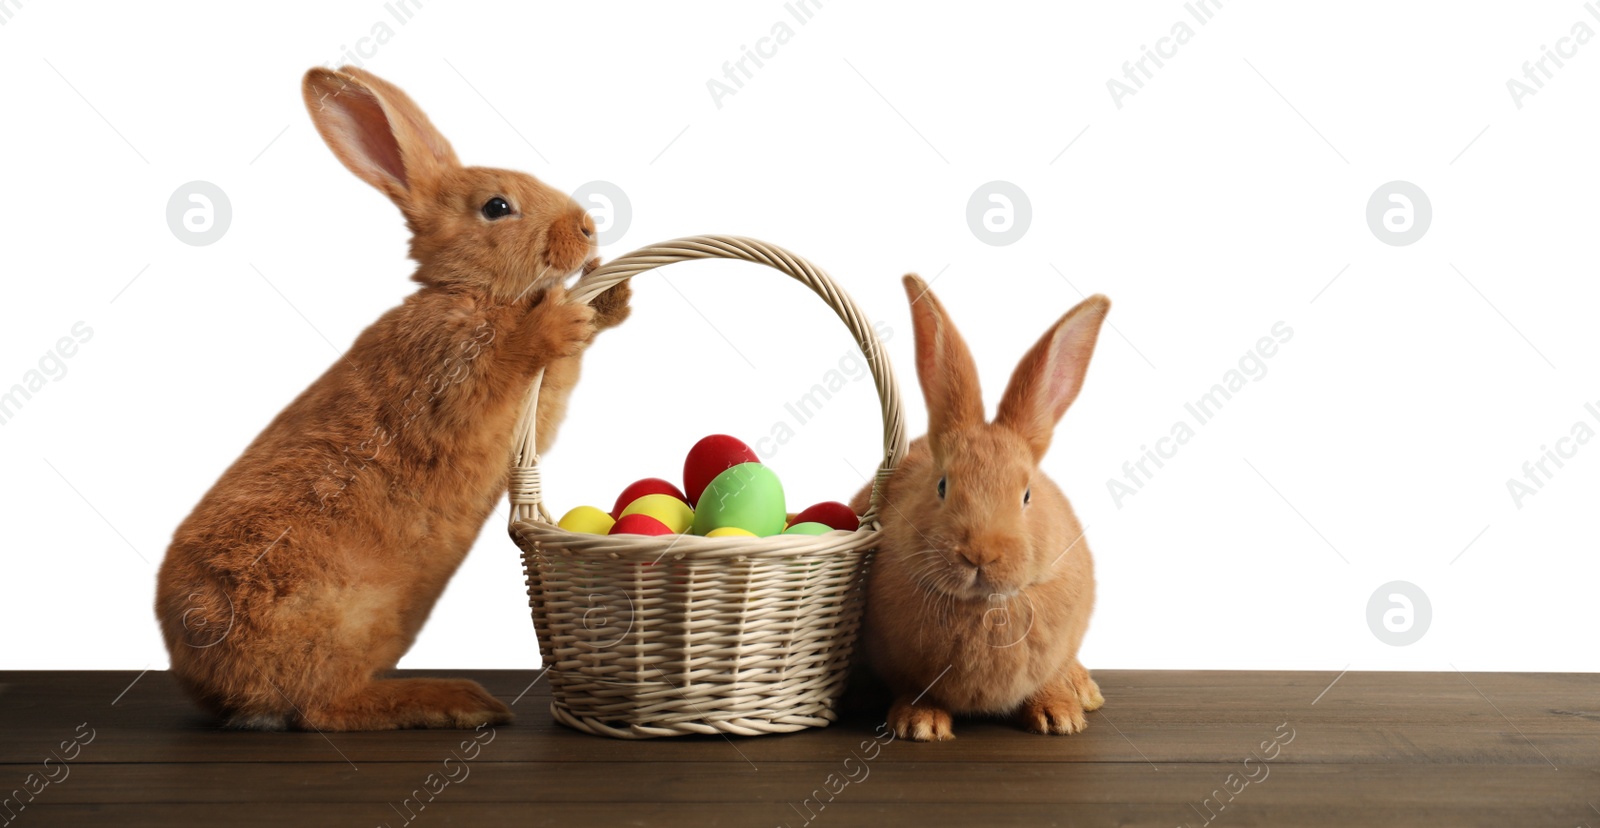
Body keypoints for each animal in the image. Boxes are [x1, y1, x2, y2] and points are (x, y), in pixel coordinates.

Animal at [150, 69, 624, 735]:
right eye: (496, 207)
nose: (586, 229)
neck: (472, 293)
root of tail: (213, 685)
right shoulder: (445, 380)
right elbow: (505, 367)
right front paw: (556, 320)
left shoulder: (543, 399)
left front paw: (610, 295)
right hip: (333, 625)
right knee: (321, 708)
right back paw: (456, 700)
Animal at [857, 276, 1107, 744]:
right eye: (942, 485)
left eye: (1026, 495)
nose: (980, 555)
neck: (984, 606)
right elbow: (914, 689)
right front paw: (920, 724)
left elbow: (1046, 681)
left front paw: (1059, 717)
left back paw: (1084, 690)